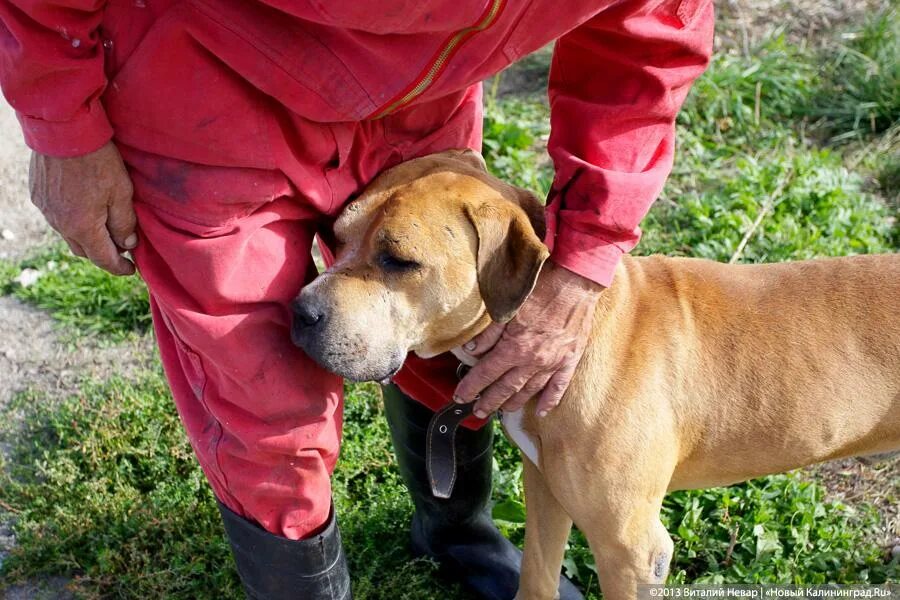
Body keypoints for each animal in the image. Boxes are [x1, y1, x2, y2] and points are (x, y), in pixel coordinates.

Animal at [292, 151, 896, 600]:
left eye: (400, 260)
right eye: (337, 235)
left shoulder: (632, 549)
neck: (578, 335)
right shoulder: (546, 491)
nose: (300, 311)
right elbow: (535, 578)